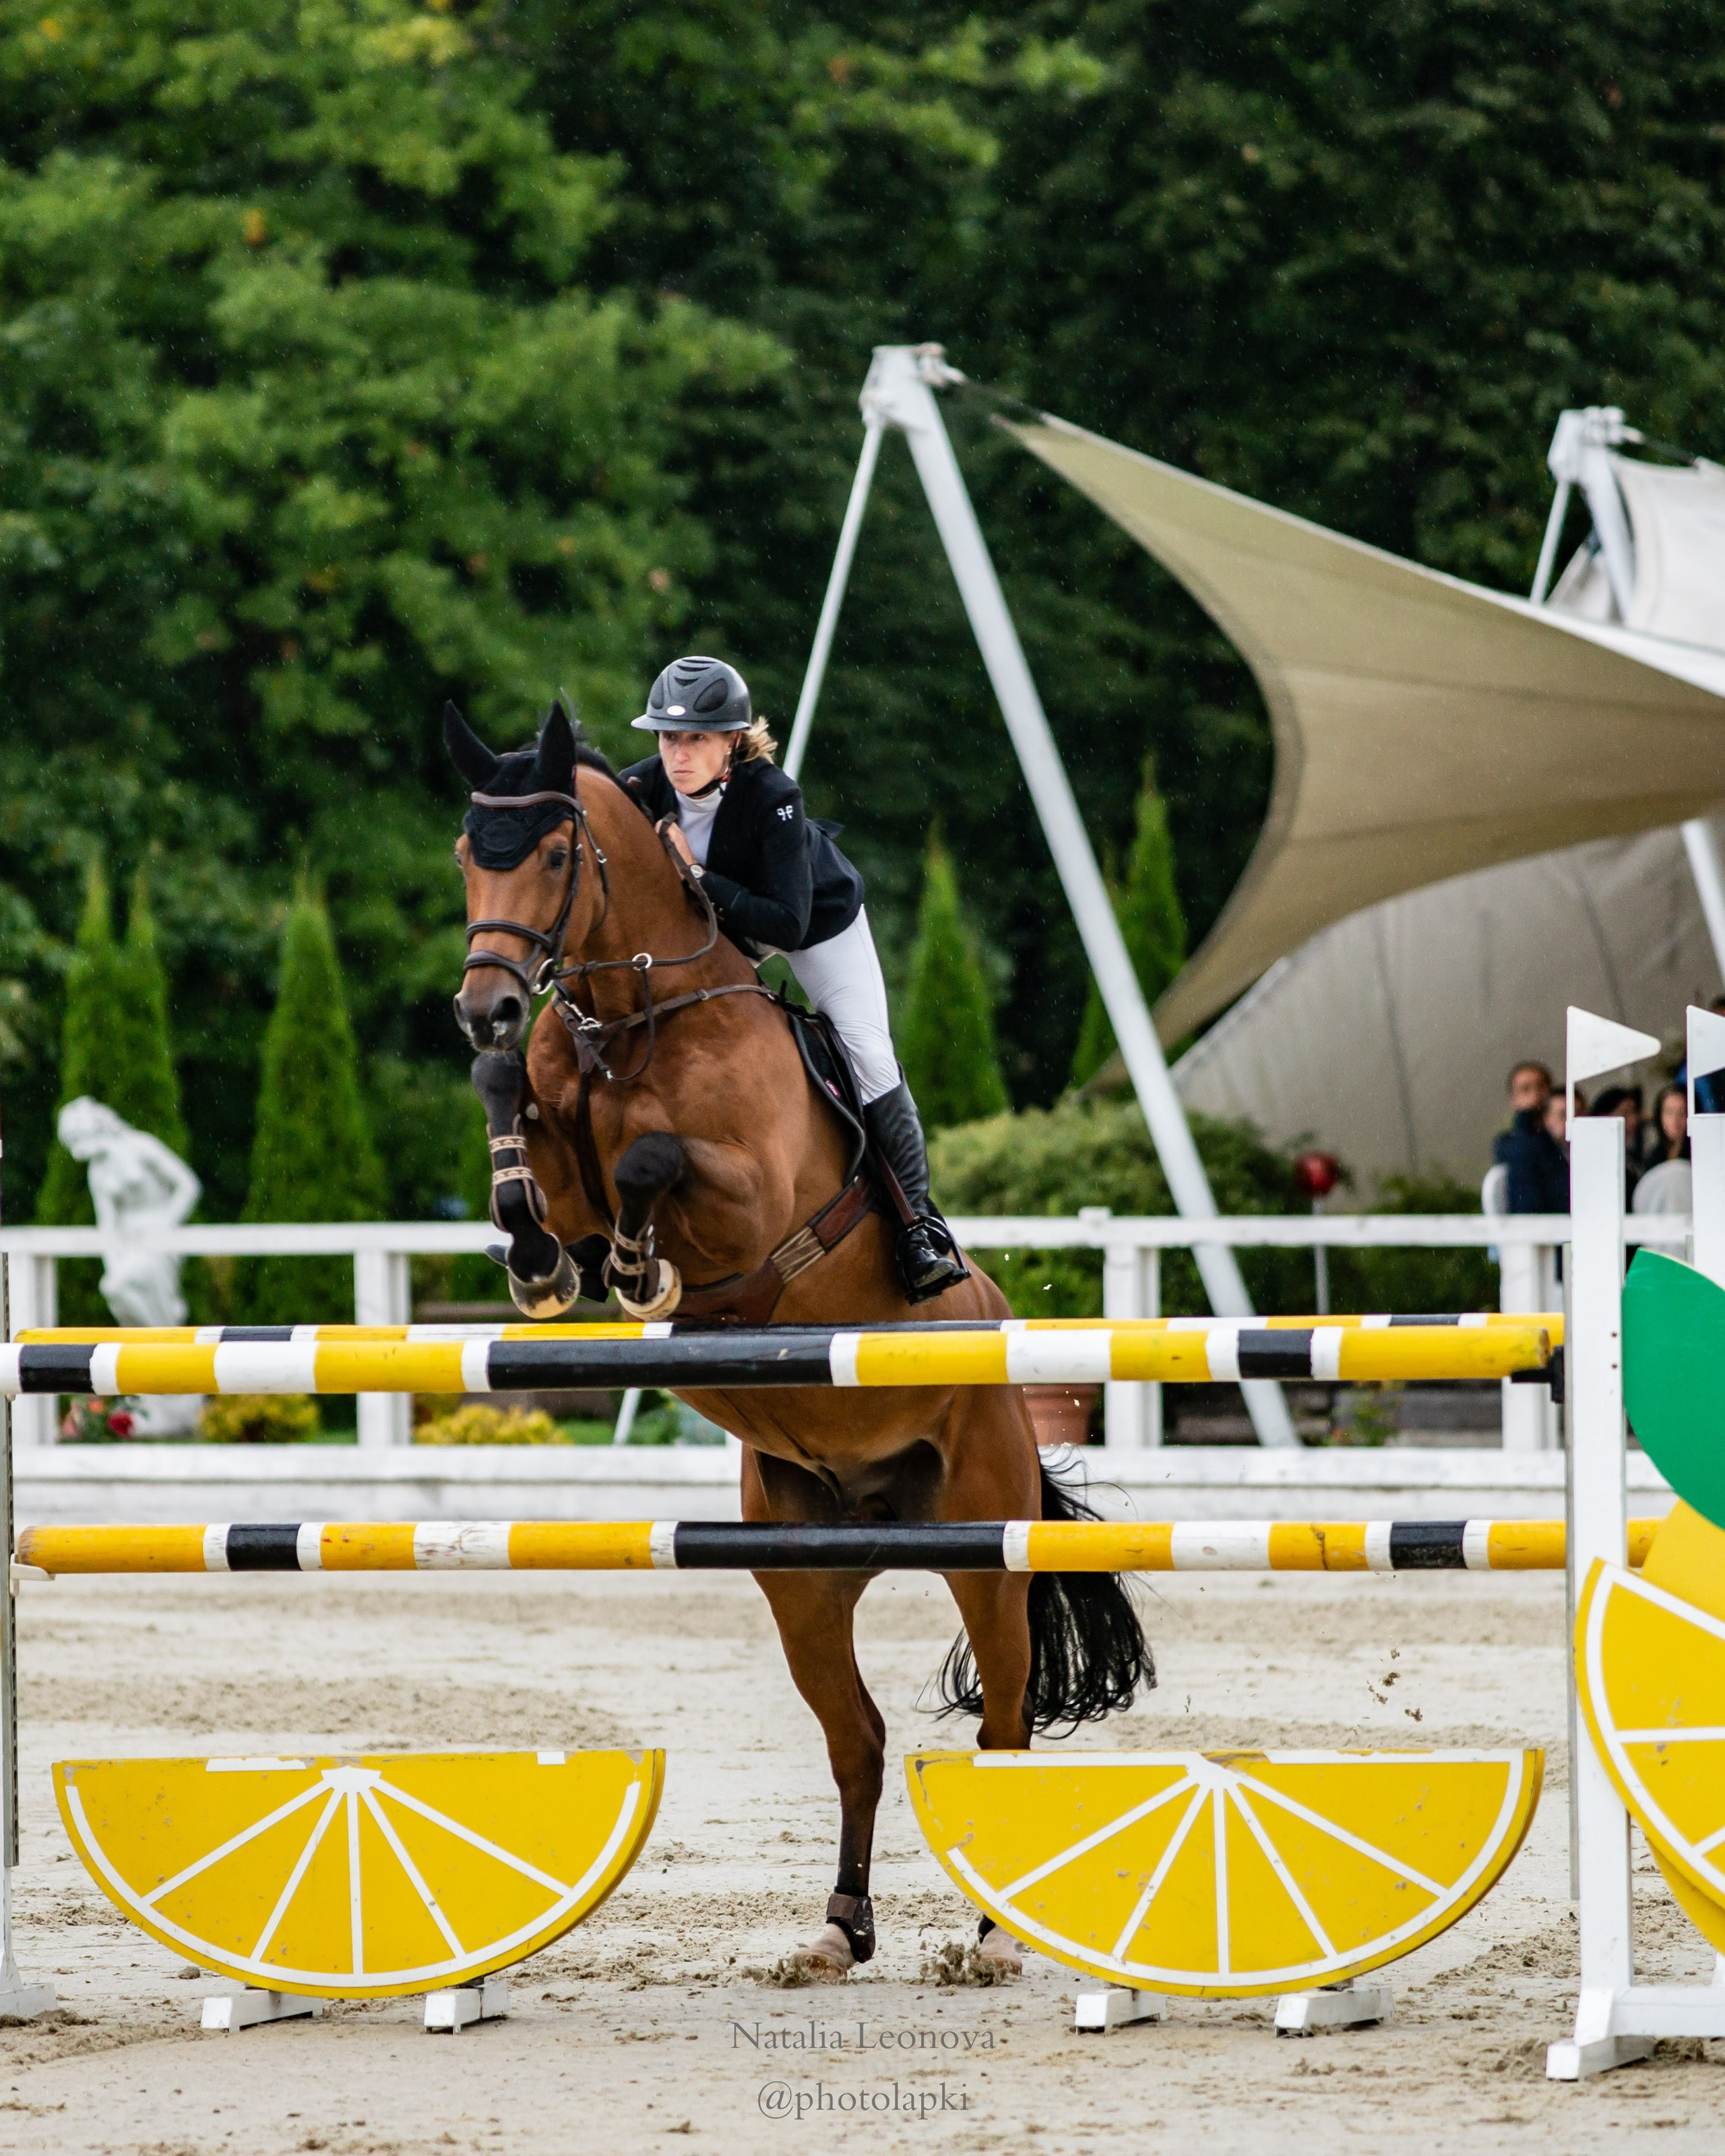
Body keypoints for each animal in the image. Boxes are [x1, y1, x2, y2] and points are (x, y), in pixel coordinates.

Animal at [445, 701, 1151, 1976]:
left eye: (557, 855)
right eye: (471, 854)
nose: (488, 1002)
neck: (633, 1022)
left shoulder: (750, 1207)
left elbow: (650, 1161)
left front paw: (637, 1263)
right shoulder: (556, 1130)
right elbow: (515, 1118)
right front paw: (537, 1256)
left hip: (986, 1544)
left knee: (1007, 1724)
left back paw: (991, 1941)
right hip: (801, 1576)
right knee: (857, 1737)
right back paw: (837, 1928)